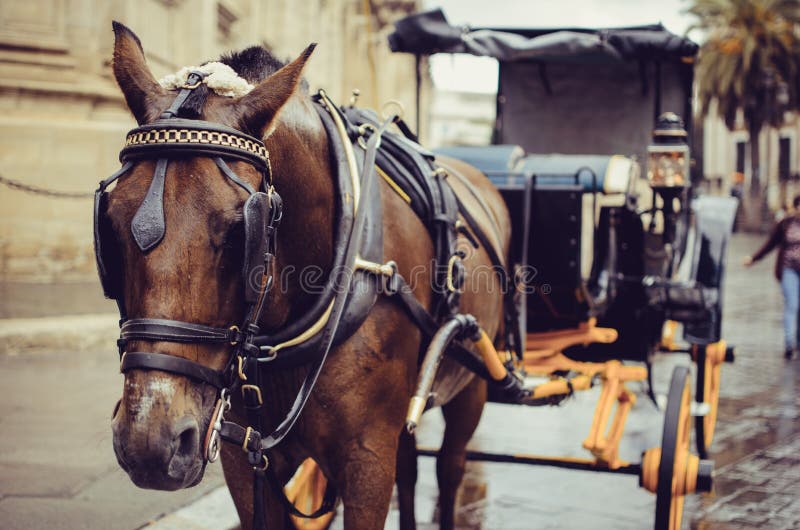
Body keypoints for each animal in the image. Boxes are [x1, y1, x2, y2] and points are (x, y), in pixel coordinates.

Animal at [106, 22, 510, 528]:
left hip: (472, 384)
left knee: (451, 467)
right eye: (111, 222)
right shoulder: (246, 462)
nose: (150, 445)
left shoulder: (367, 459)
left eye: (240, 232)